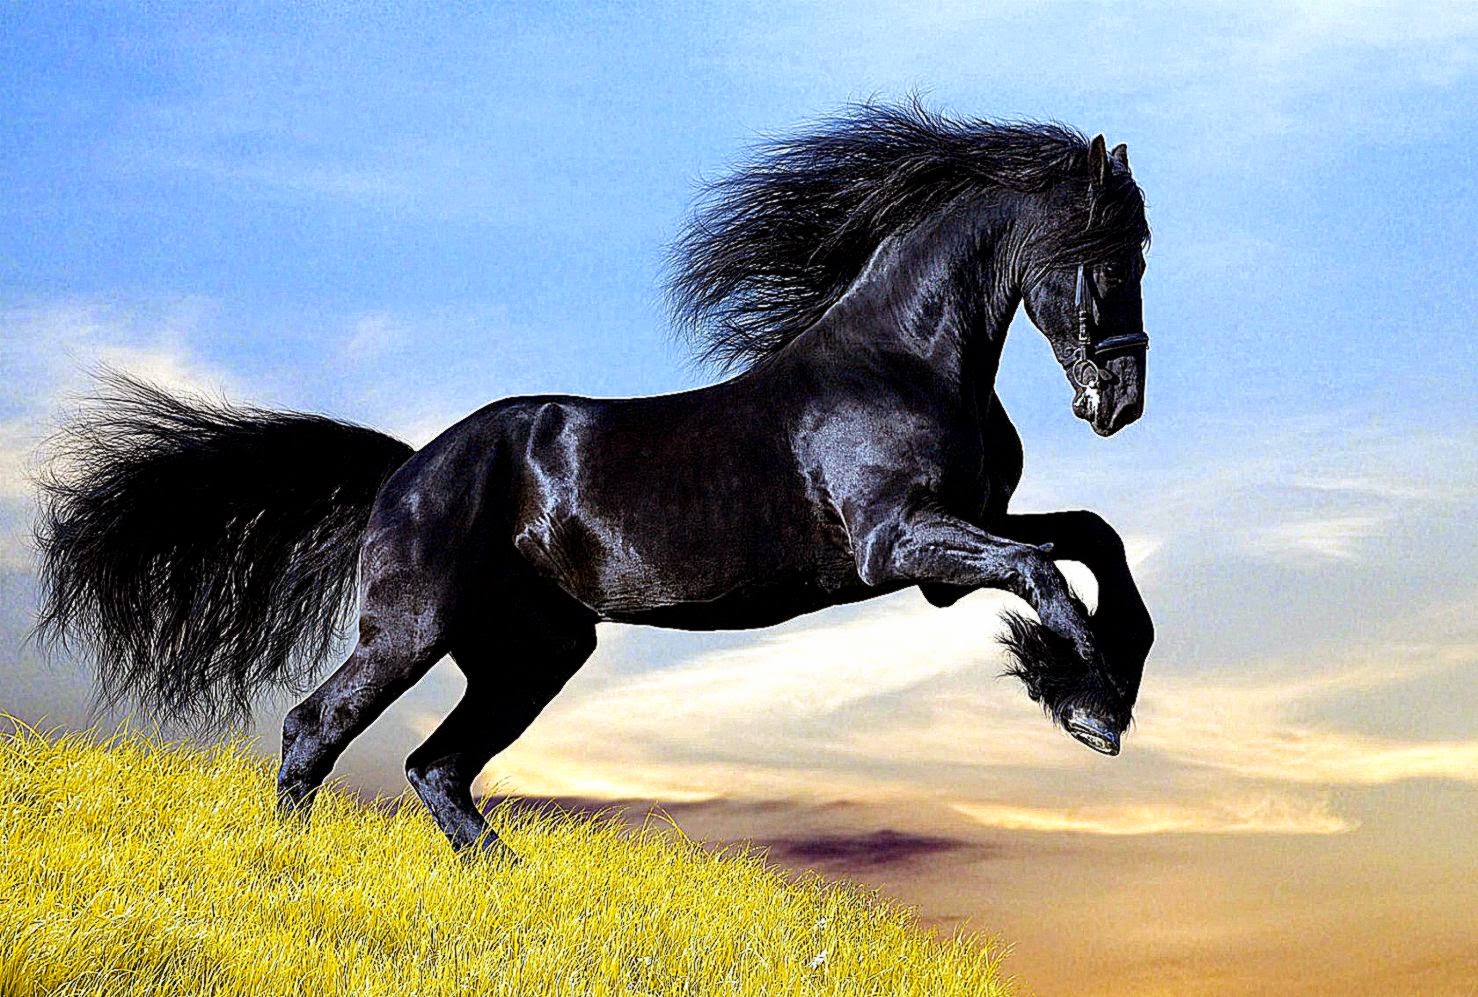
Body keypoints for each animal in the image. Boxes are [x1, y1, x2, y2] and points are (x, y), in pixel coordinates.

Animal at [35, 102, 1155, 860]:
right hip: (412, 627)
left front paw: (1103, 680)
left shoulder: (959, 534)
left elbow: (1091, 539)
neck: (902, 360)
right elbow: (1044, 572)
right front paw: (1089, 707)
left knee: (436, 765)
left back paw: (504, 880)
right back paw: (292, 862)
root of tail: (407, 468)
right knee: (318, 727)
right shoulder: (900, 544)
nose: (1119, 402)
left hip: (532, 651)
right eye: (1110, 257)